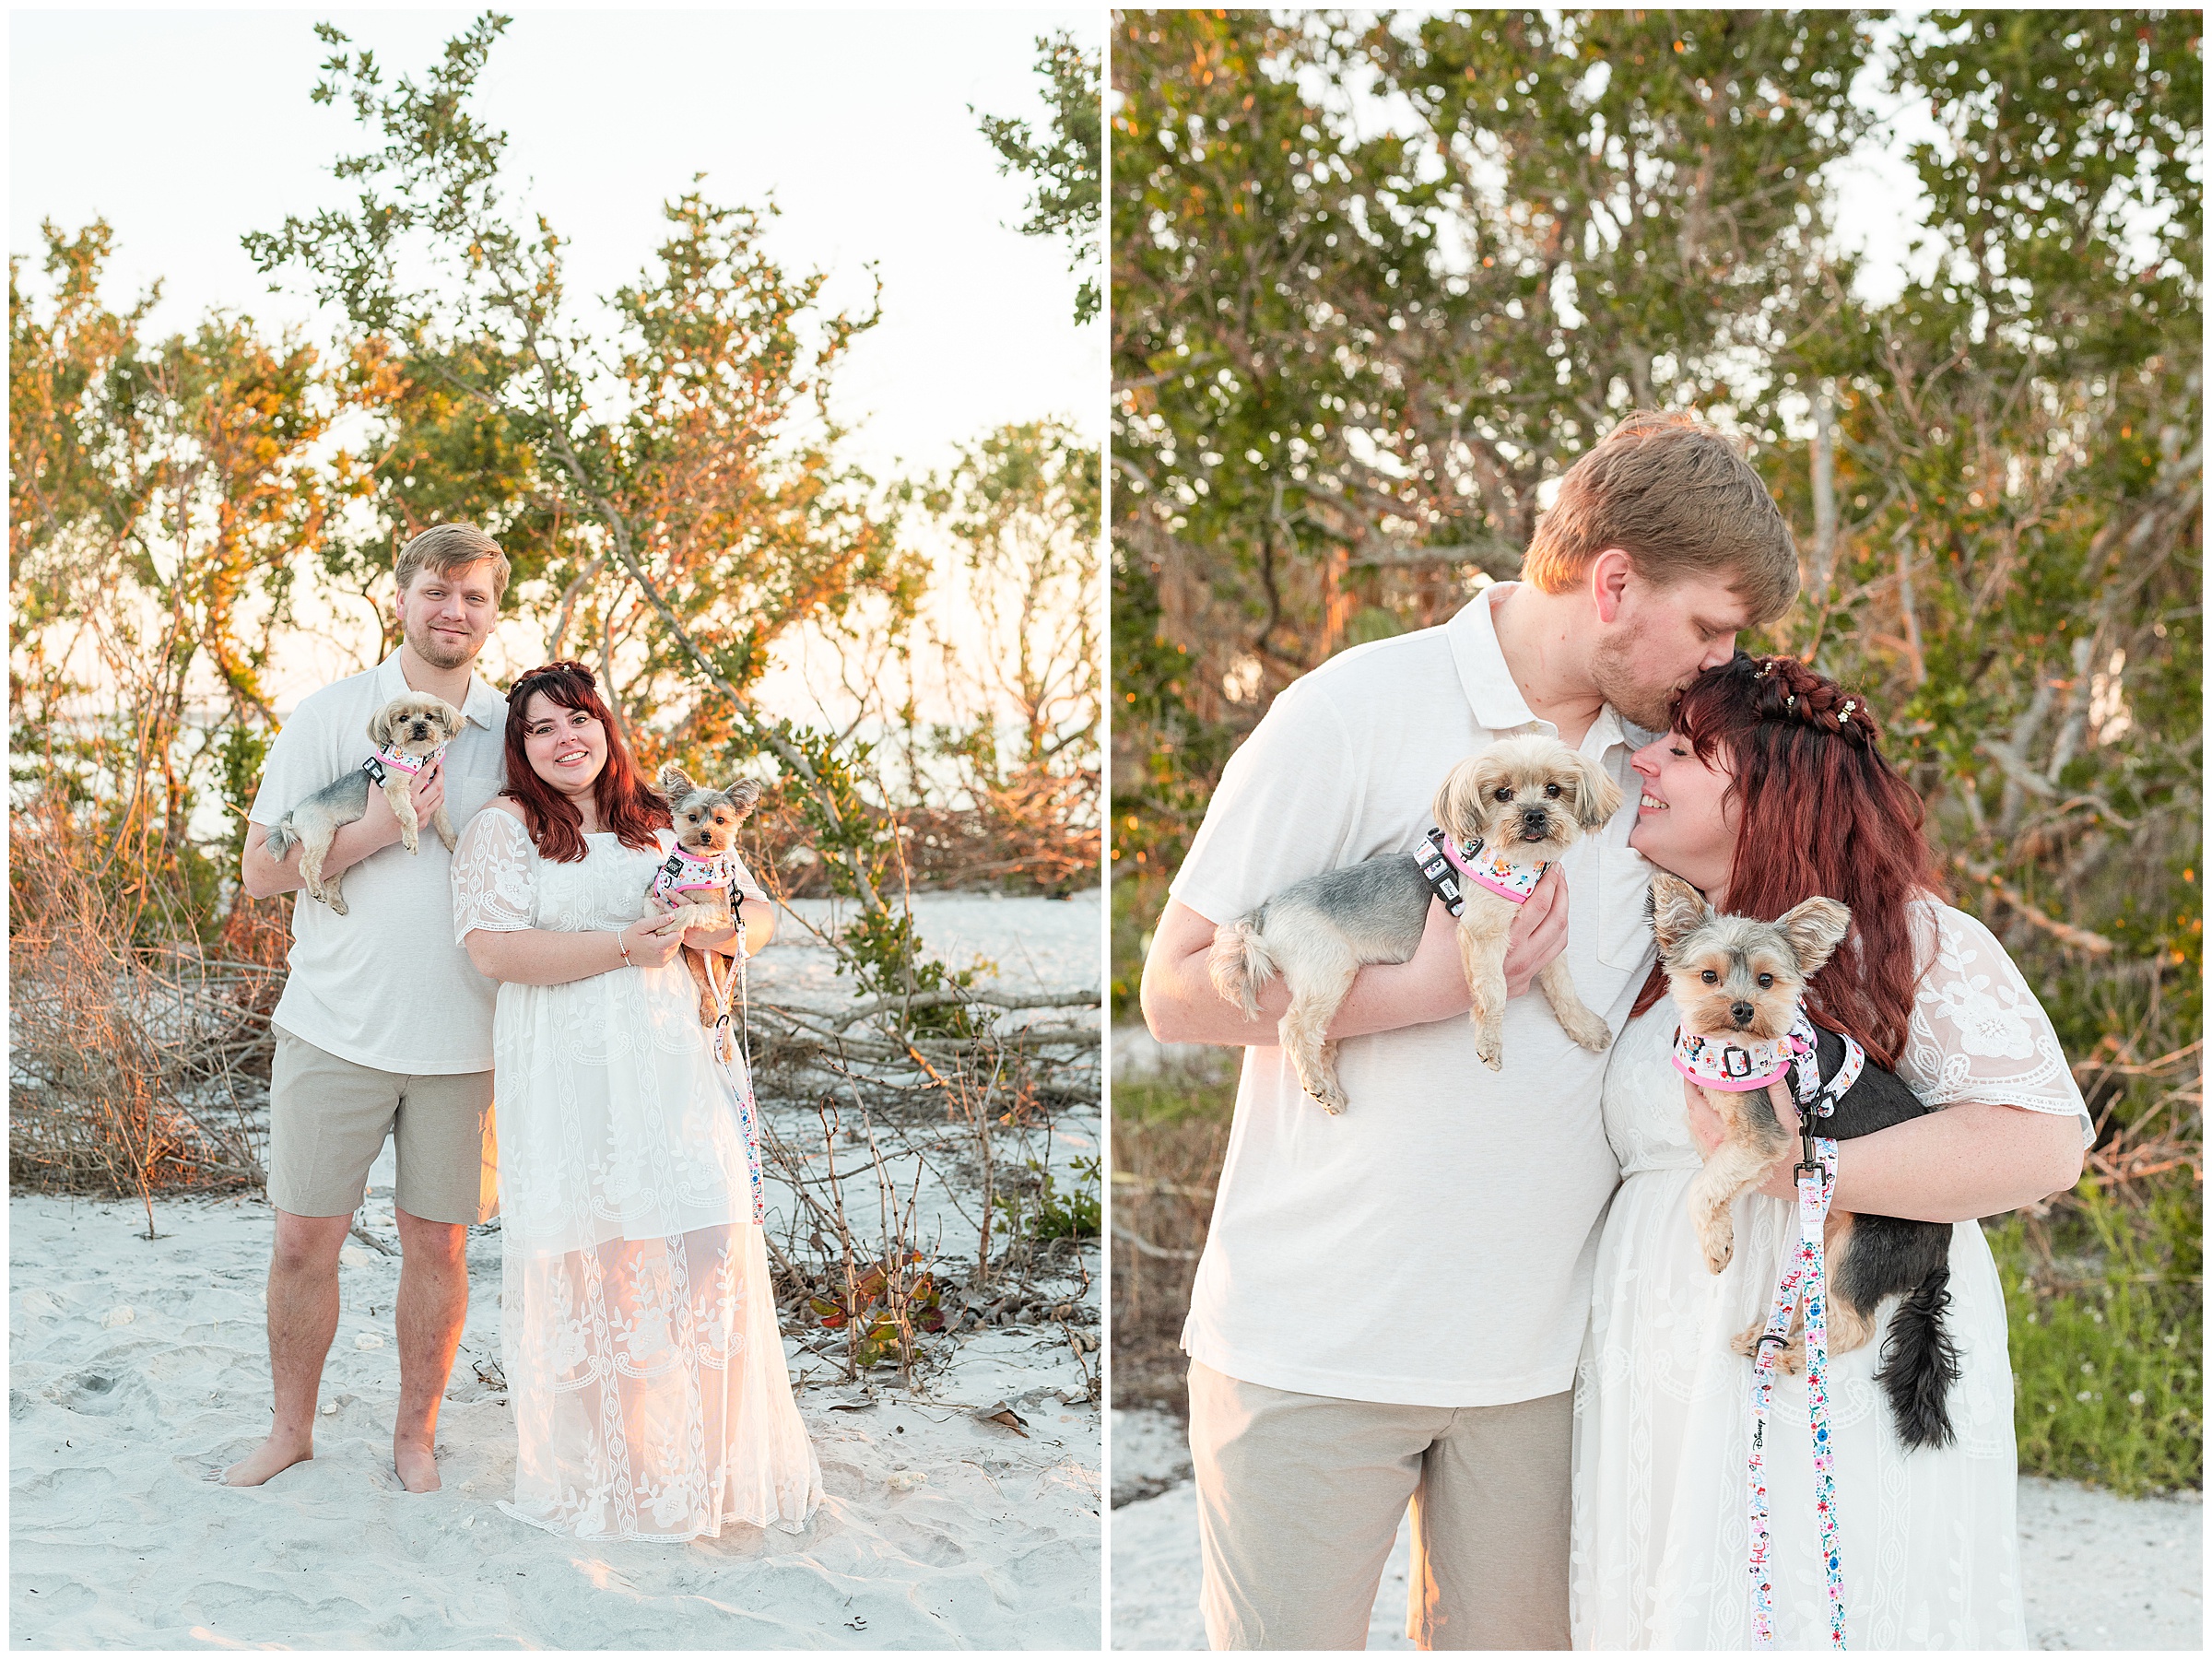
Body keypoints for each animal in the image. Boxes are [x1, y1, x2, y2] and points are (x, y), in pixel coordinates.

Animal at [263, 695, 462, 916]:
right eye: (403, 718)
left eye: (429, 716)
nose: (419, 725)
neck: (417, 758)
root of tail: (294, 812)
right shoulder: (396, 788)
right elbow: (410, 815)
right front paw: (412, 840)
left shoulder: (436, 802)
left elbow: (445, 825)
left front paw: (454, 844)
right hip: (321, 836)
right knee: (306, 864)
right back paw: (316, 891)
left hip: (342, 855)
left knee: (331, 879)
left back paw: (336, 902)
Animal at [645, 765, 765, 1027]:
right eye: (692, 818)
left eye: (720, 820)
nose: (706, 835)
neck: (695, 861)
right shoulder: (655, 888)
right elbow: (650, 906)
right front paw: (654, 925)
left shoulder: (719, 912)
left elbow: (690, 909)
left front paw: (673, 923)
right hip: (696, 963)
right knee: (706, 989)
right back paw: (708, 1011)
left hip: (722, 973)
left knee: (724, 1000)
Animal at [1212, 739, 1628, 1120]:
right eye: (1502, 793)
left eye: (1554, 789)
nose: (1534, 815)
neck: (1517, 866)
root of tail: (1265, 911)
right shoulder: (1482, 933)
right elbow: (1494, 992)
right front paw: (1489, 1043)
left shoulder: (1550, 945)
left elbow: (1564, 989)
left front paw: (1584, 1027)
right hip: (1328, 972)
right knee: (1295, 1030)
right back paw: (1318, 1085)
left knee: (1317, 1037)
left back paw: (1328, 1088)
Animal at [1654, 876, 1964, 1452]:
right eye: (1708, 976)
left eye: (1767, 980)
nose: (1743, 1009)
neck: (1735, 1049)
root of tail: (1939, 1253)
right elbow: (1717, 1183)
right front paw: (1722, 1231)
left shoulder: (1762, 1137)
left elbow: (1704, 1186)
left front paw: (1716, 1245)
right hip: (1824, 1230)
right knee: (1812, 1302)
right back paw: (1770, 1337)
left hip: (1861, 1248)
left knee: (1850, 1326)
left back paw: (1793, 1356)